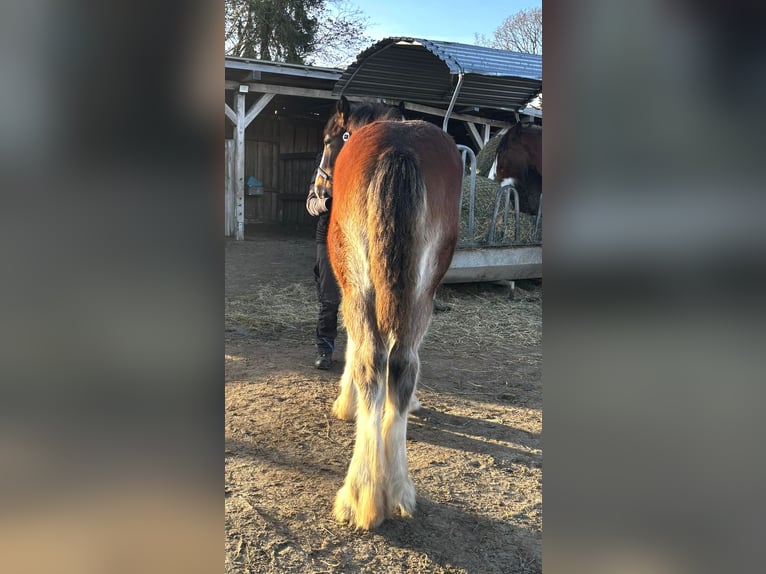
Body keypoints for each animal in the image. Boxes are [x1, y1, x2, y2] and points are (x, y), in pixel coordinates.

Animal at [313, 96, 463, 529]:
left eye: (329, 139)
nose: (317, 190)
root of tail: (400, 148)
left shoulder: (349, 286)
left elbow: (352, 347)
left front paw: (345, 404)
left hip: (360, 279)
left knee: (370, 360)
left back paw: (361, 495)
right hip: (421, 289)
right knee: (402, 363)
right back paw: (397, 490)